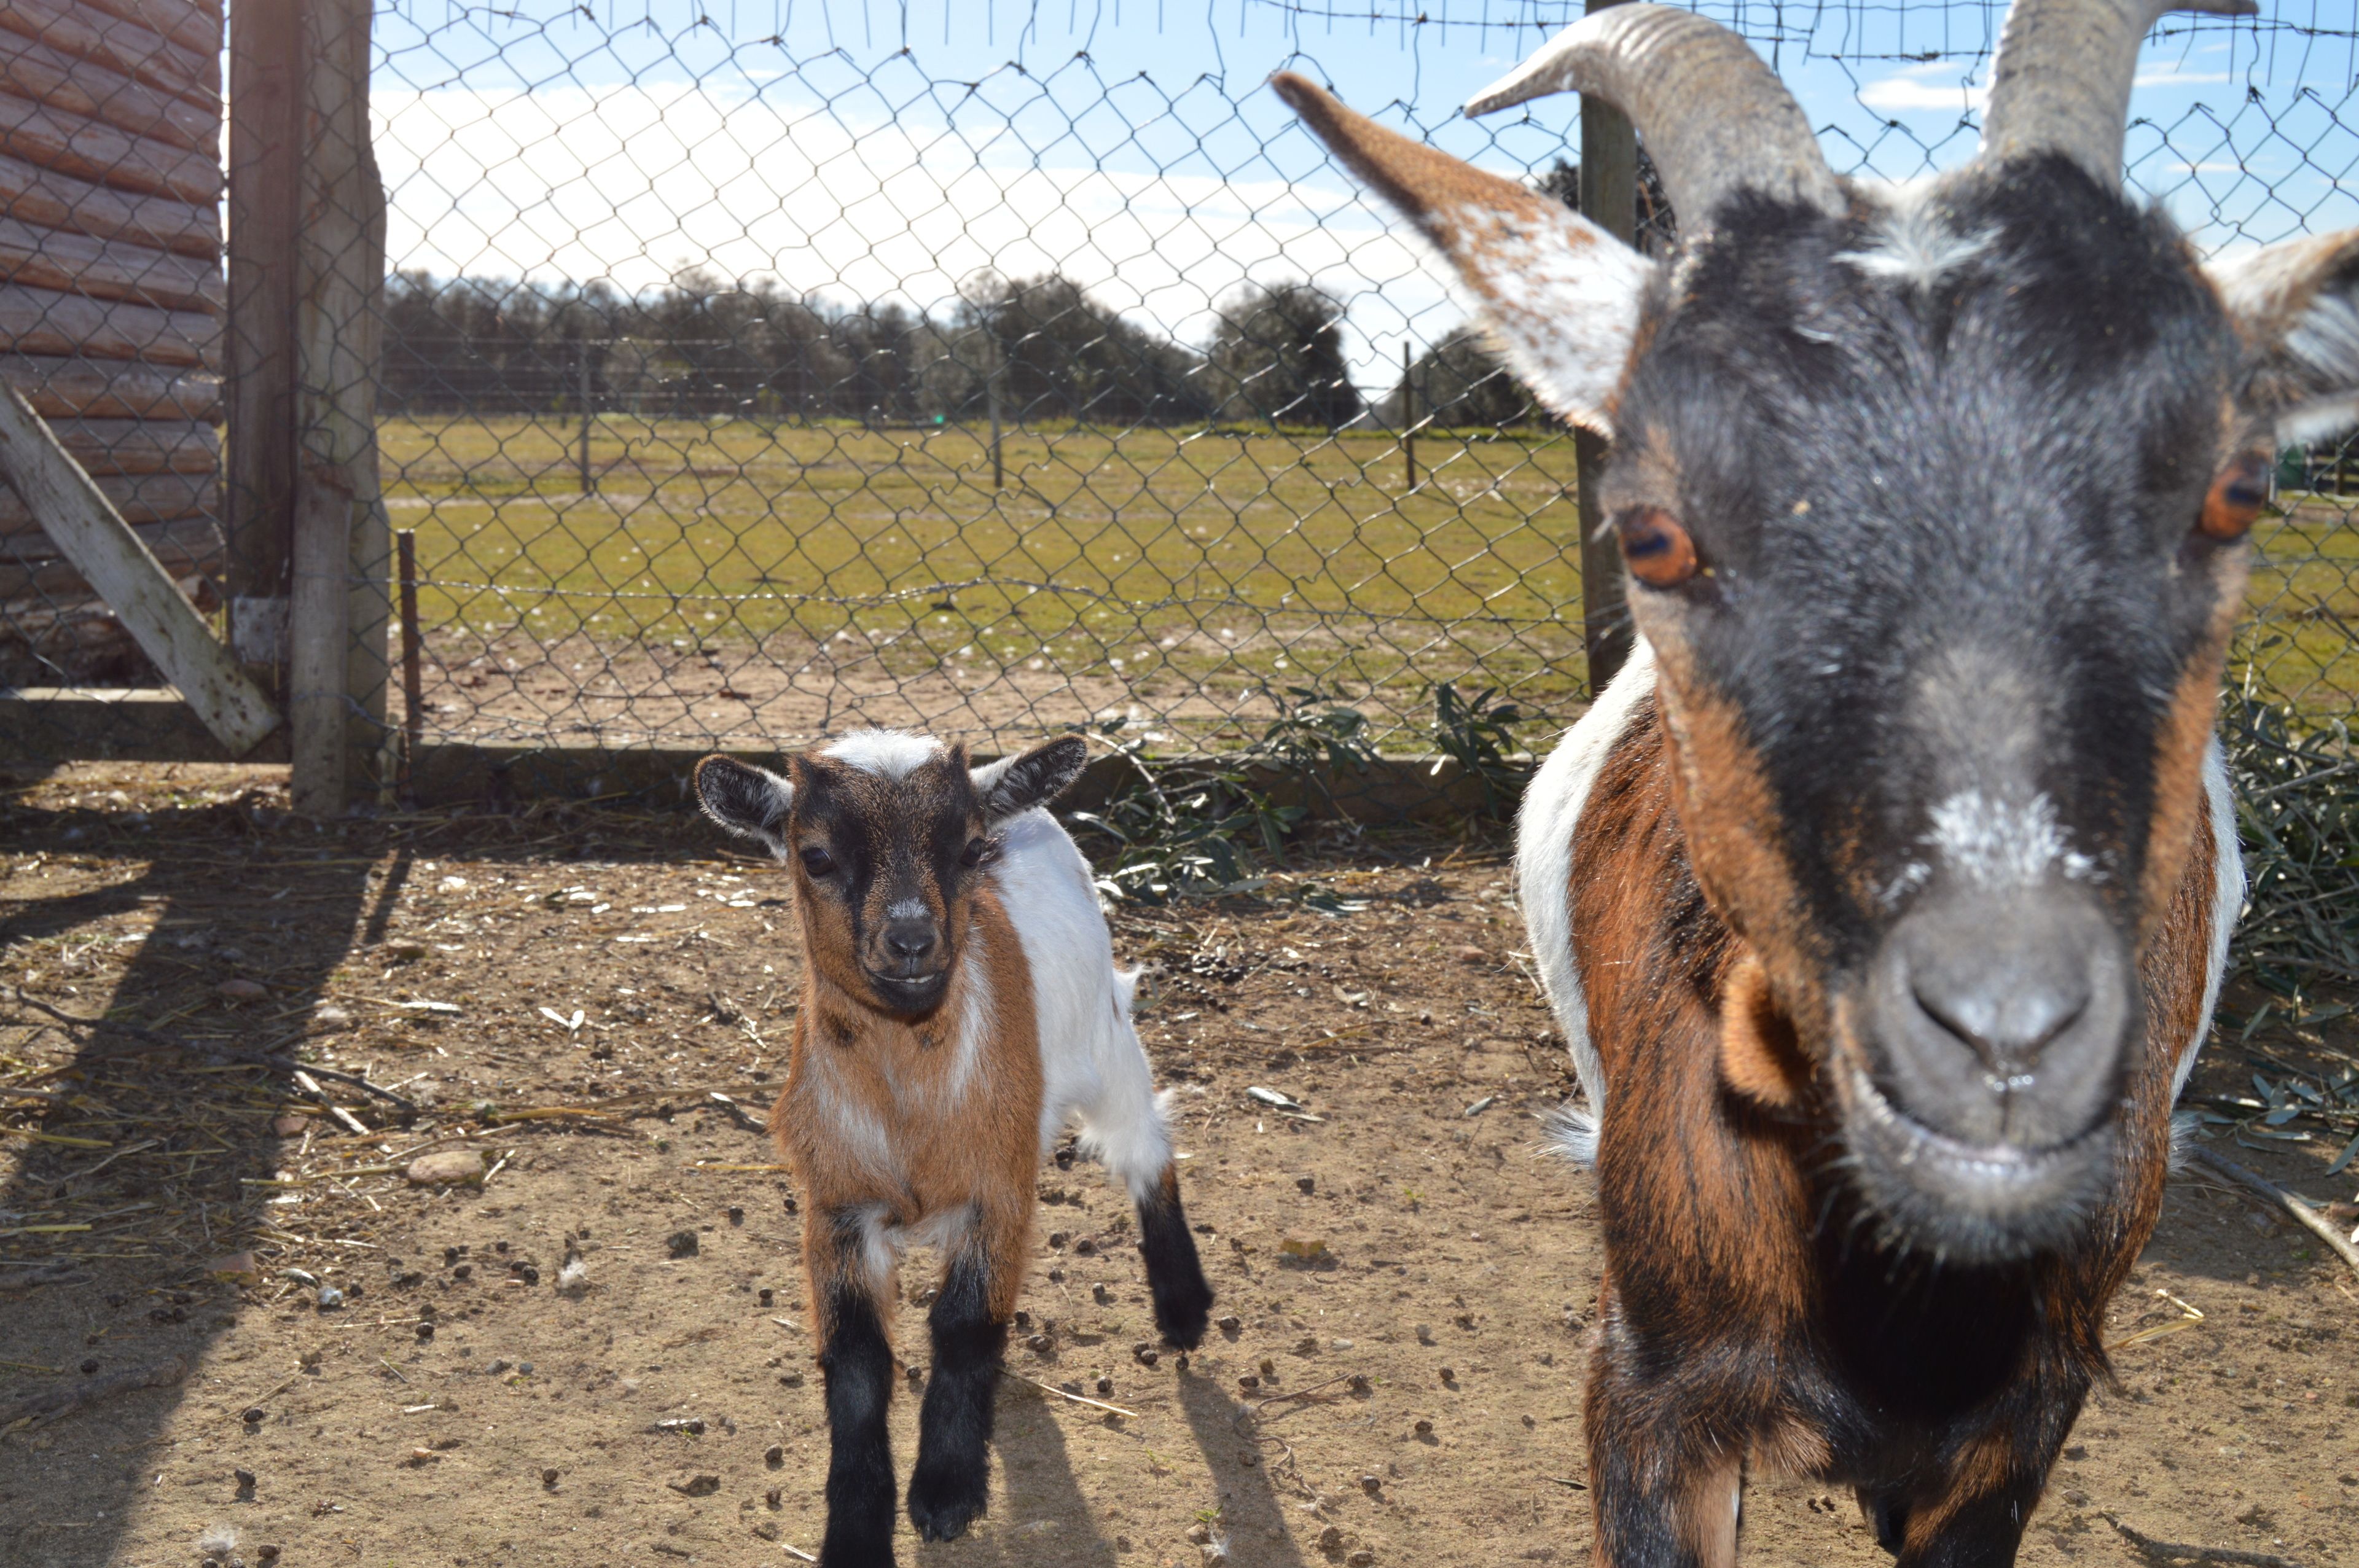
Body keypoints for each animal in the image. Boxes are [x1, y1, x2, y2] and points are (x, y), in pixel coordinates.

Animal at [695, 731, 1213, 1567]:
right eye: (815, 856)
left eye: (970, 849)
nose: (911, 941)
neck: (911, 1110)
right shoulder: (837, 1205)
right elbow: (857, 1360)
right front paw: (857, 1533)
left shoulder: (993, 1191)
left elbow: (965, 1326)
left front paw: (945, 1490)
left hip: (1107, 1041)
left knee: (1146, 1143)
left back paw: (1184, 1306)